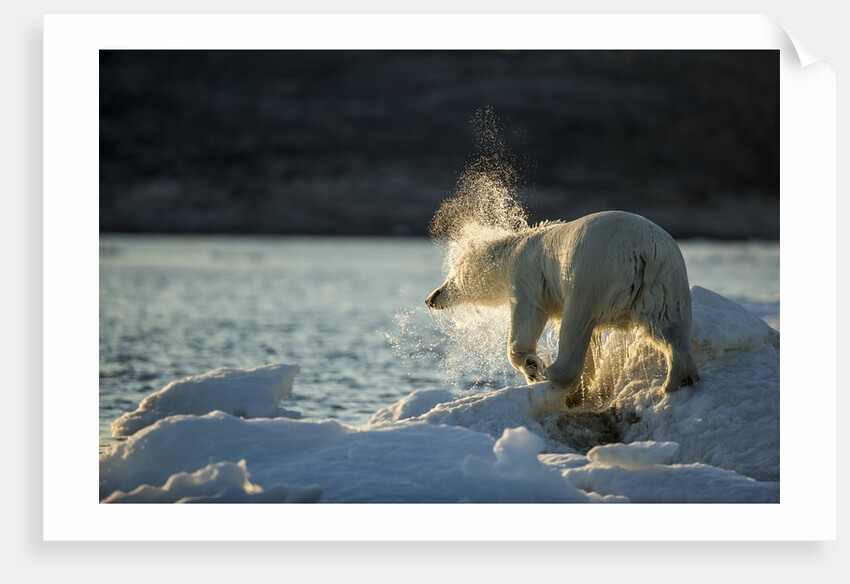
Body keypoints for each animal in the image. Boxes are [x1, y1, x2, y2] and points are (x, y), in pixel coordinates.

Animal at [425, 210, 700, 400]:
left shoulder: (527, 275)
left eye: (452, 275)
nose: (431, 298)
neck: (513, 250)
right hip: (663, 283)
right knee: (666, 327)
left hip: (591, 275)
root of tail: (644, 249)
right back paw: (676, 380)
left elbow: (528, 316)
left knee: (576, 325)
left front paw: (531, 364)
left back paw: (548, 372)